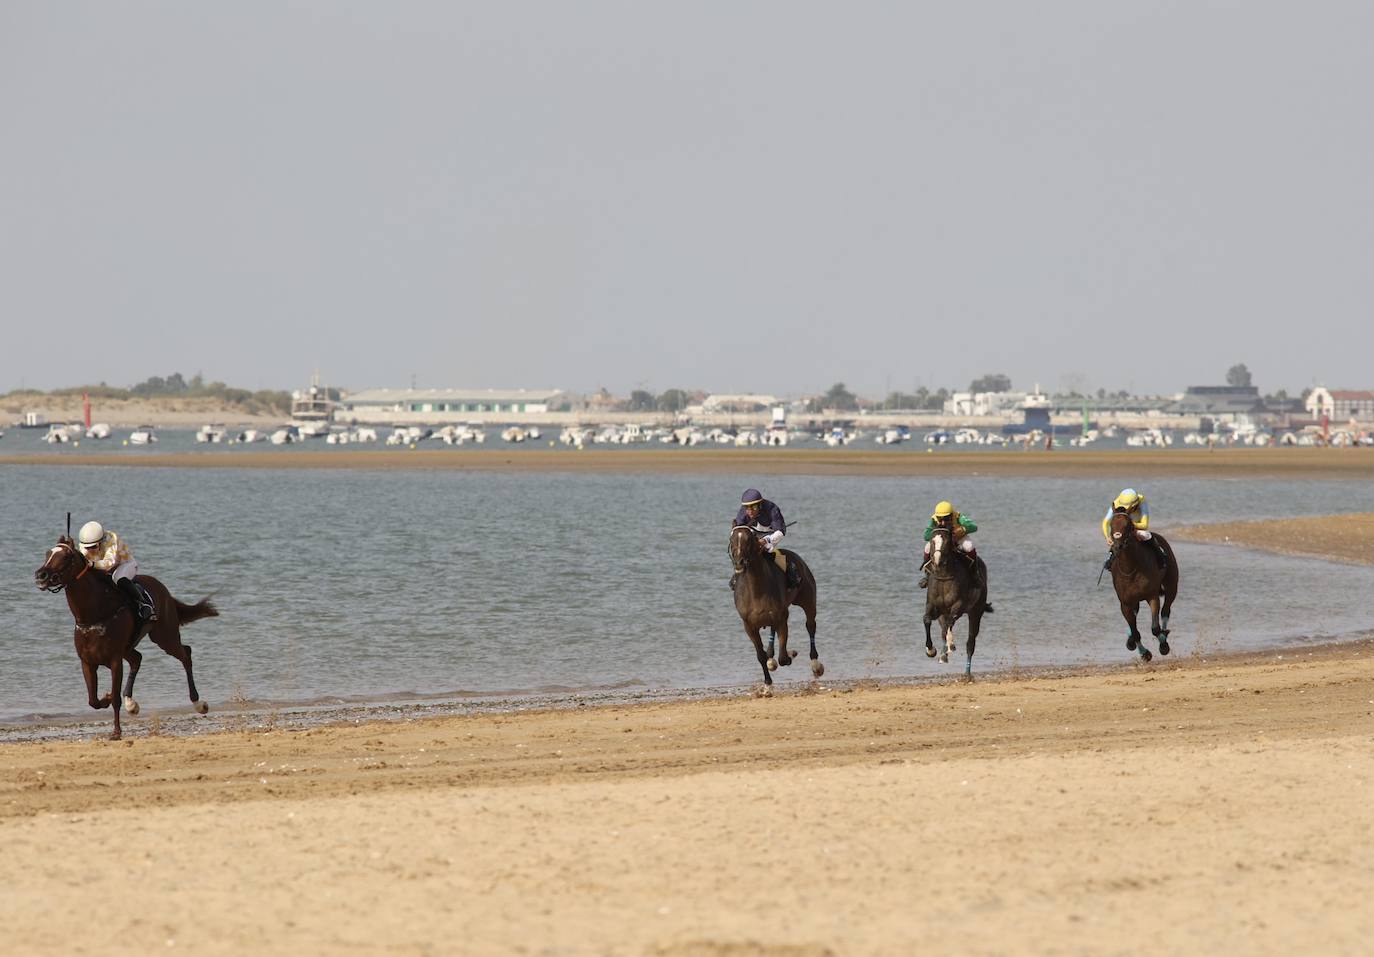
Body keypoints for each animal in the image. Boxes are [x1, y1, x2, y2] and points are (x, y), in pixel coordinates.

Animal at [34, 537, 218, 739]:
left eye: (66, 557)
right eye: (47, 553)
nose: (41, 575)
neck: (95, 615)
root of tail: (163, 588)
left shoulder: (115, 659)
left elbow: (115, 698)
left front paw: (116, 731)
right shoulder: (87, 662)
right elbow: (93, 700)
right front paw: (107, 699)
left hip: (164, 636)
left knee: (185, 654)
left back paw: (198, 703)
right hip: (130, 647)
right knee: (137, 658)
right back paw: (132, 703)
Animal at [728, 525, 822, 694]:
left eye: (748, 539)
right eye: (731, 539)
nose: (739, 563)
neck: (756, 590)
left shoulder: (781, 619)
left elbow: (784, 657)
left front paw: (791, 654)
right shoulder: (749, 626)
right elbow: (761, 656)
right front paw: (767, 684)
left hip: (808, 601)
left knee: (810, 626)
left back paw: (815, 664)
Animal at [922, 525, 987, 678]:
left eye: (947, 541)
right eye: (932, 541)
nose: (937, 560)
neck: (943, 576)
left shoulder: (959, 606)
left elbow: (950, 624)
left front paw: (950, 645)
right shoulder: (934, 607)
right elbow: (927, 620)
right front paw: (931, 650)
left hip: (976, 611)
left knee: (970, 643)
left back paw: (967, 673)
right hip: (943, 614)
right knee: (943, 629)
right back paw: (943, 653)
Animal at [1107, 511, 1179, 662]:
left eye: (1128, 526)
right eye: (1111, 525)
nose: (1117, 546)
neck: (1131, 569)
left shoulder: (1152, 596)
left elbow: (1155, 628)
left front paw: (1163, 644)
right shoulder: (1125, 603)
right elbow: (1135, 632)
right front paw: (1144, 653)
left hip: (1172, 586)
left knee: (1166, 610)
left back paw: (1164, 636)